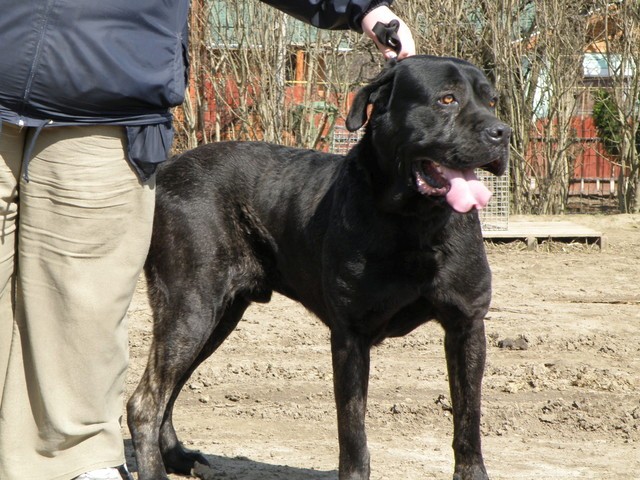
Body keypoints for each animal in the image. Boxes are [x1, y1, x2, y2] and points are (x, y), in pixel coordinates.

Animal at [129, 57, 510, 480]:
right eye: (447, 99)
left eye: (492, 100)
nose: (502, 133)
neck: (414, 222)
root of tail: (166, 170)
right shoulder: (350, 335)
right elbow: (353, 431)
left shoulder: (466, 324)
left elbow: (468, 418)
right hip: (191, 308)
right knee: (145, 402)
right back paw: (156, 468)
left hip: (218, 316)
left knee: (169, 391)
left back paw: (178, 457)